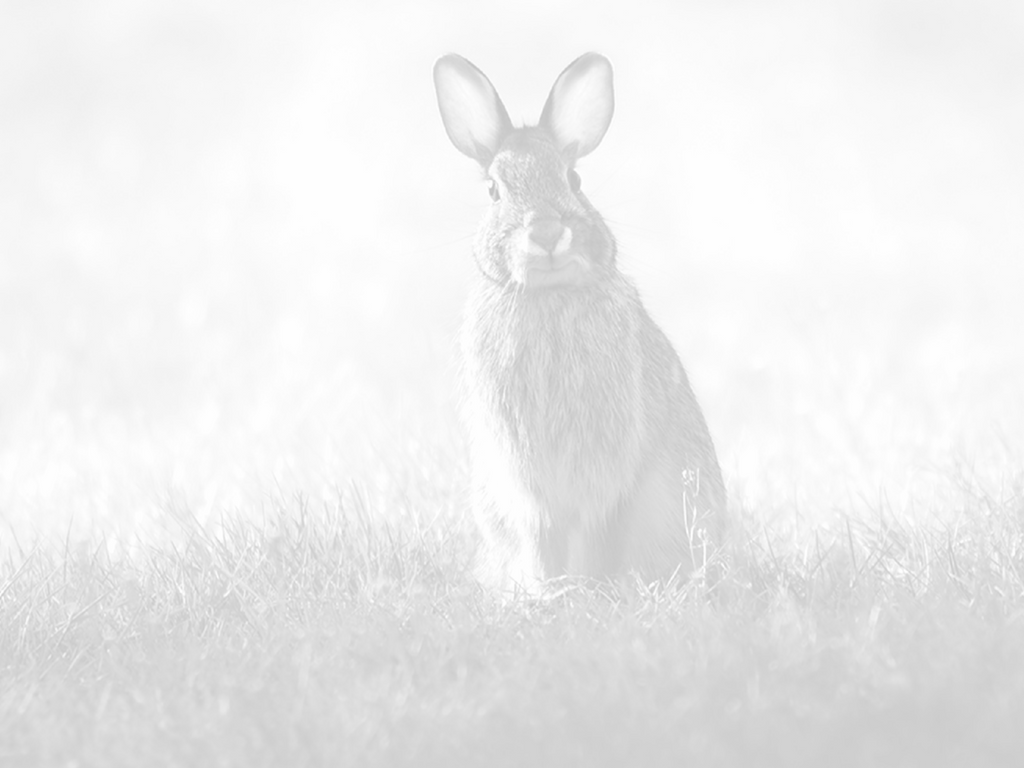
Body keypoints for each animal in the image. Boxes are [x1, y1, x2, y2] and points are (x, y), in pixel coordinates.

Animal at [434, 52, 727, 590]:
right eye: (494, 190)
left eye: (574, 180)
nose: (547, 231)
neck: (548, 296)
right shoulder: (527, 485)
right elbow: (542, 537)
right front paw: (548, 591)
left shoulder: (602, 476)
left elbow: (592, 530)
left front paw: (581, 589)